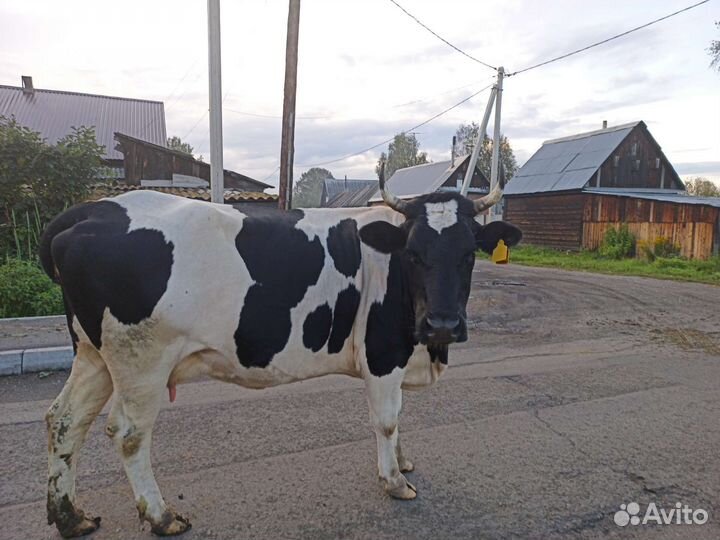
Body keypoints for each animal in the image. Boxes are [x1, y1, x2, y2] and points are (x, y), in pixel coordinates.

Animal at [39, 174, 521, 537]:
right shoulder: (383, 353)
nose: (443, 324)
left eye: (468, 254)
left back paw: (70, 517)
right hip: (141, 361)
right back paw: (161, 517)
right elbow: (387, 420)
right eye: (415, 254)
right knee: (128, 433)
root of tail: (94, 208)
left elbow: (399, 418)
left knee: (65, 420)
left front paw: (403, 462)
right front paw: (395, 481)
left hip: (94, 355)